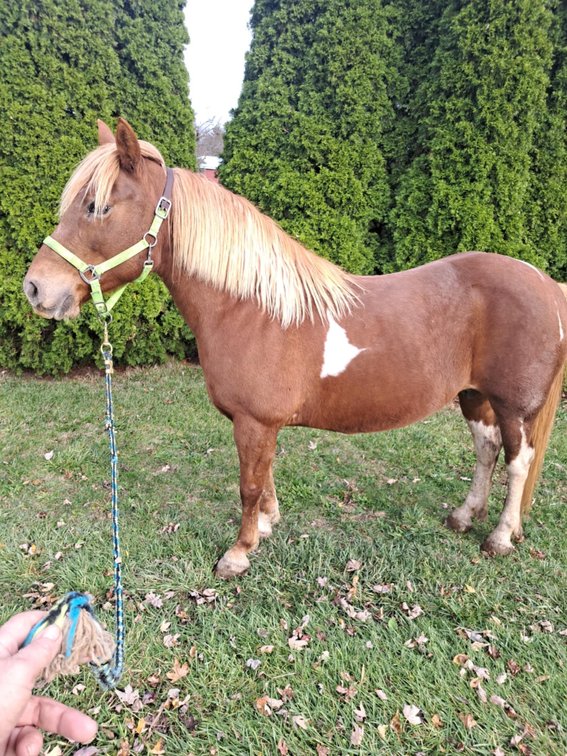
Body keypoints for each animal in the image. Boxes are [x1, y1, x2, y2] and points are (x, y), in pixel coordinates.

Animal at [24, 119, 567, 578]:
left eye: (98, 207)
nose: (36, 288)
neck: (250, 308)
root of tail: (547, 285)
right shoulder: (260, 424)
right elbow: (264, 477)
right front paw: (266, 526)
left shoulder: (254, 421)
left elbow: (248, 483)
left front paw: (238, 553)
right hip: (474, 396)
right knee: (486, 449)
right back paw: (463, 516)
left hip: (514, 406)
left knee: (517, 462)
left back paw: (499, 536)